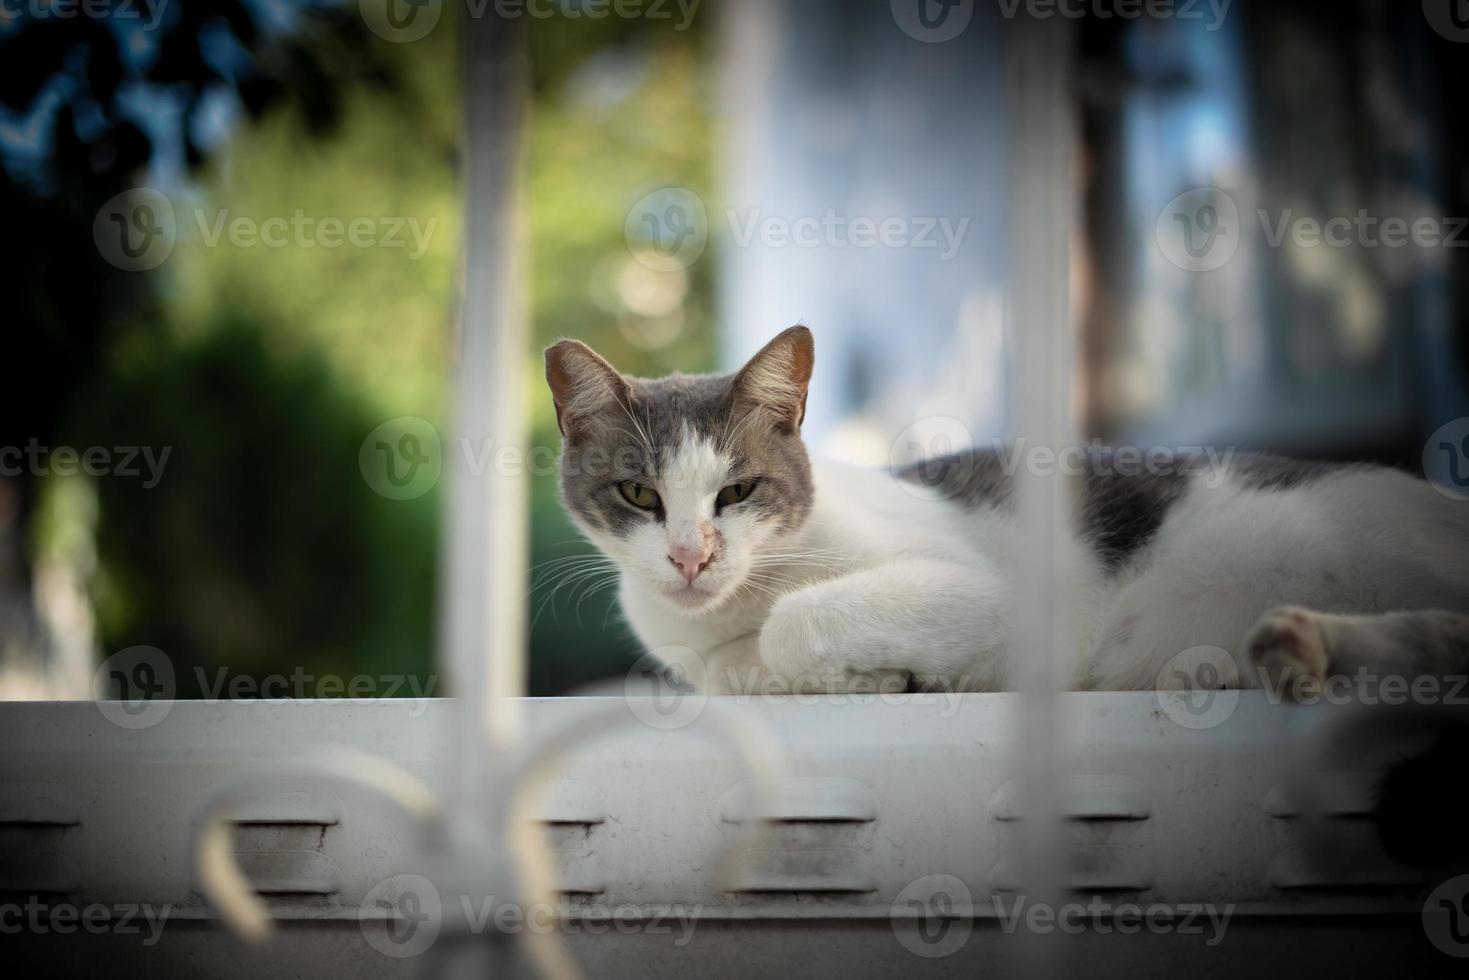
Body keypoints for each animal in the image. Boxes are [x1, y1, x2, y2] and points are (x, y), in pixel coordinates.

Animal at [543, 326, 1469, 693]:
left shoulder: (1011, 600)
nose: (690, 556)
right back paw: (1287, 651)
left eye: (736, 491)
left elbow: (794, 625)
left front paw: (874, 672)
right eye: (639, 494)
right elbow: (743, 668)